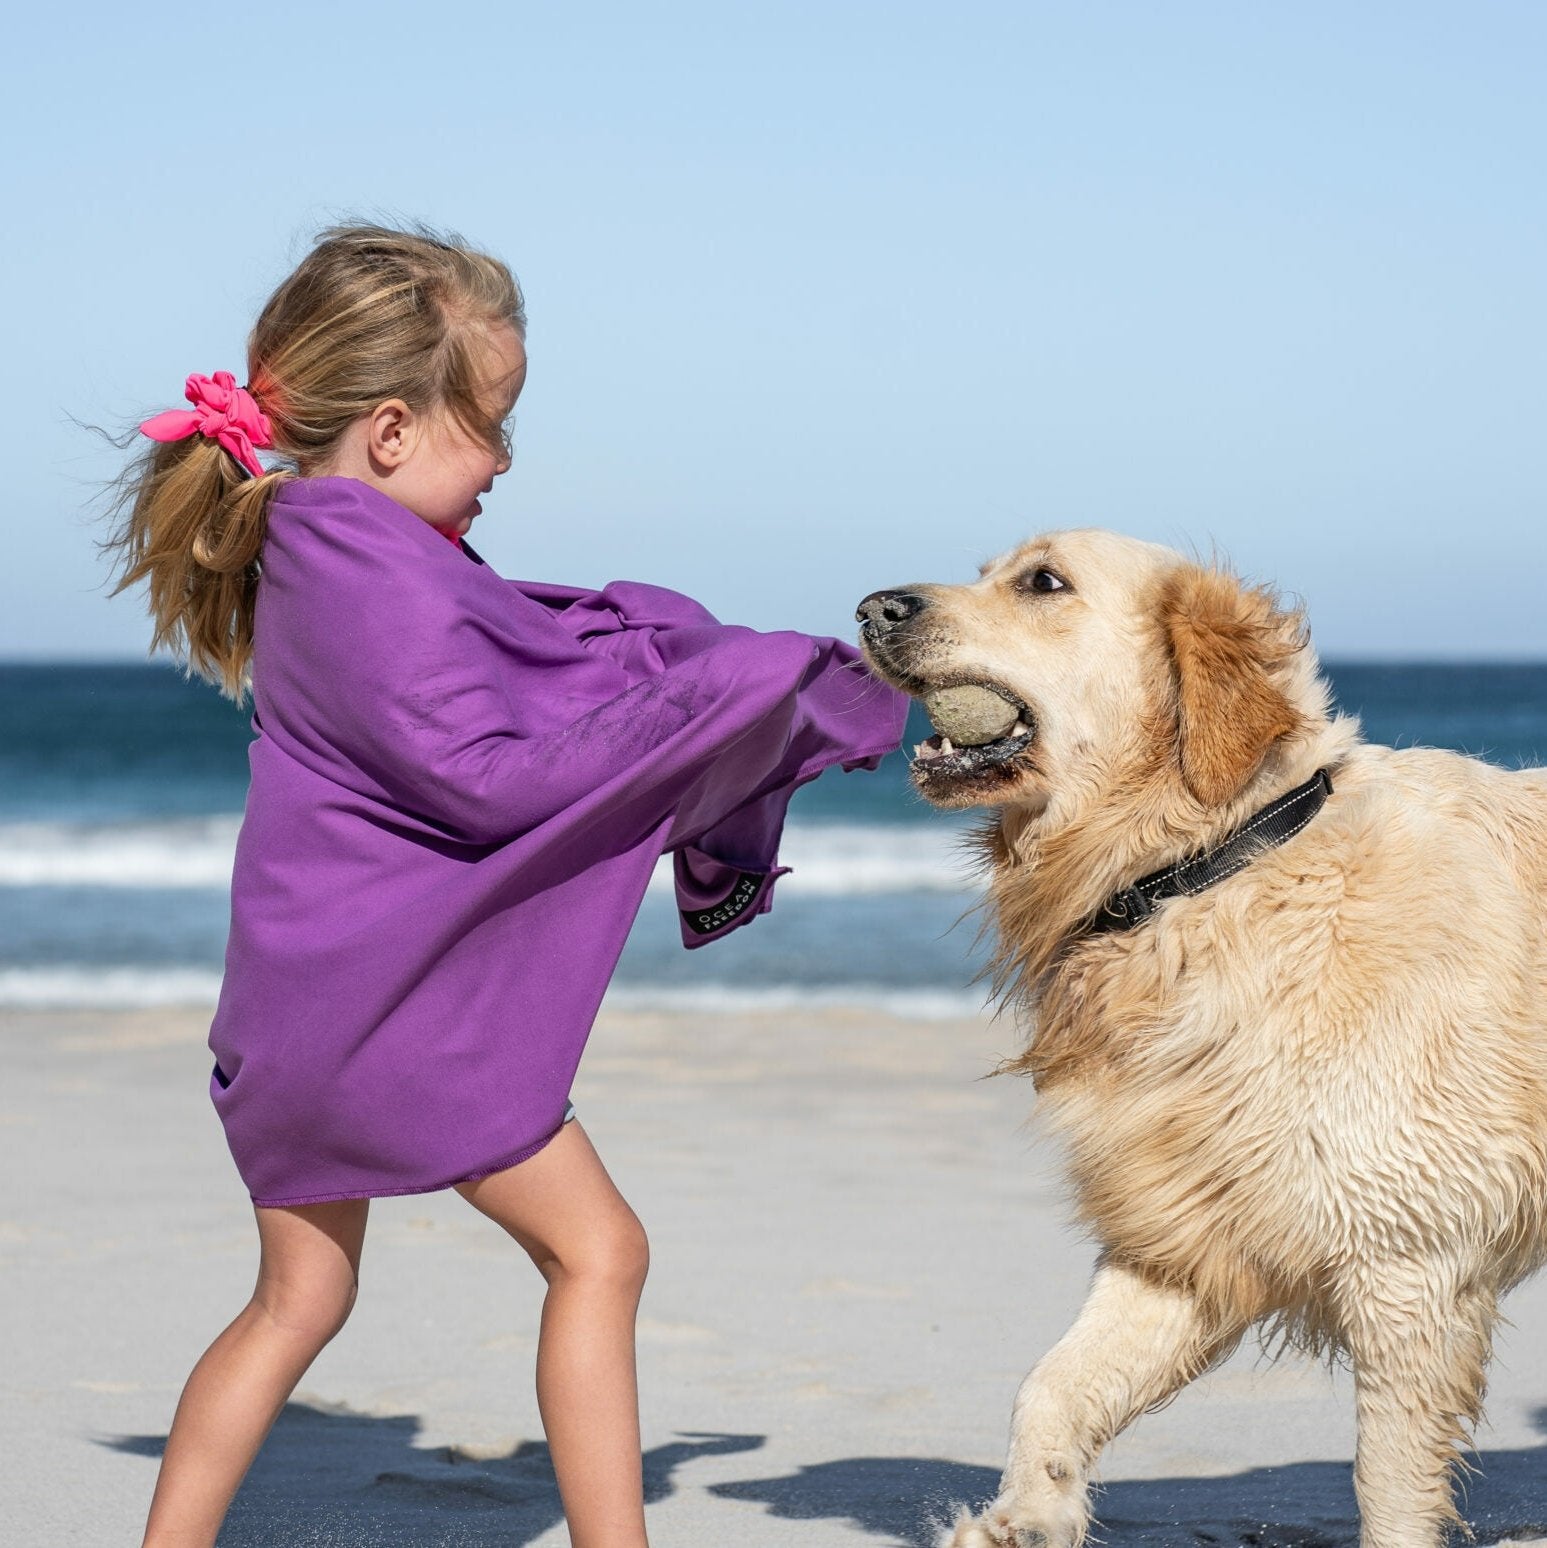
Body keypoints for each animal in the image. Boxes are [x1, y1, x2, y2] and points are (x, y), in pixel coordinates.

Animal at [860, 526, 1547, 1541]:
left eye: (1043, 582)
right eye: (986, 570)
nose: (871, 609)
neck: (1205, 868)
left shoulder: (1407, 1258)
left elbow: (1385, 1483)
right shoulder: (1185, 1226)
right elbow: (1051, 1387)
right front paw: (1028, 1514)